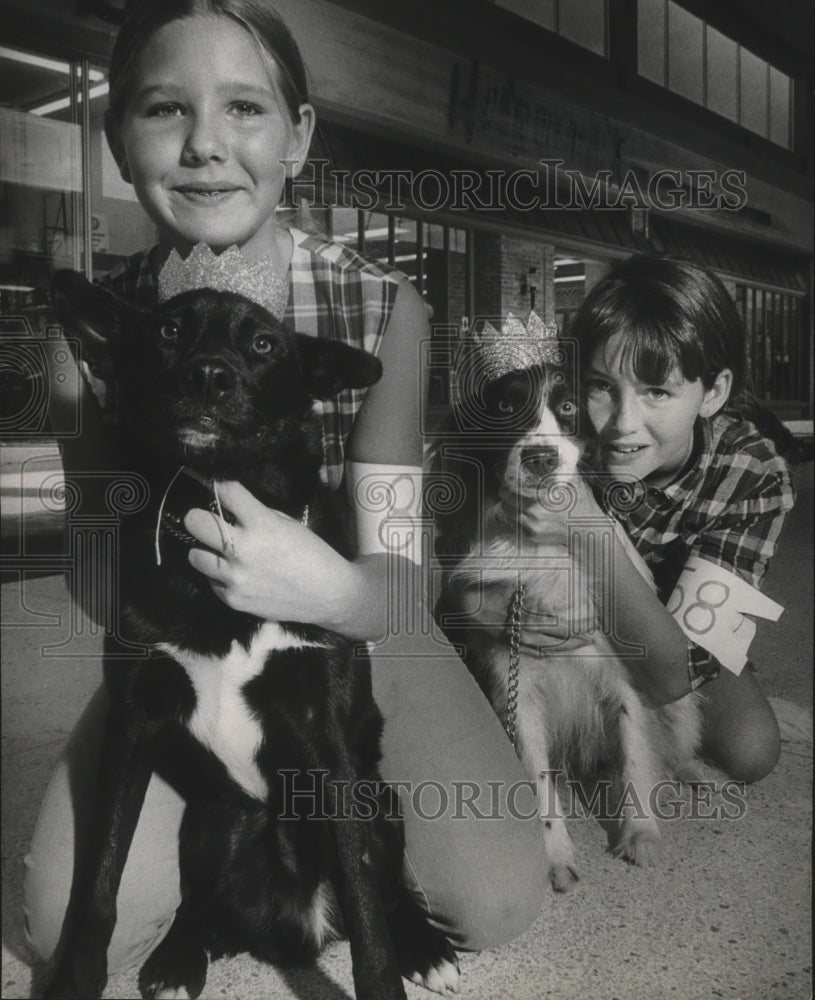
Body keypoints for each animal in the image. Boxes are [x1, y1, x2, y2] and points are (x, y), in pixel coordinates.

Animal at [47, 270, 462, 996]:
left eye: (265, 344)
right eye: (168, 330)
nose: (210, 376)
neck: (212, 511)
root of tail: (299, 922)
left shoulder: (325, 737)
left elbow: (364, 902)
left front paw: (389, 969)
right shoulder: (132, 725)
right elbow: (97, 881)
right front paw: (75, 979)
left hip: (378, 801)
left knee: (385, 888)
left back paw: (423, 943)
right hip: (213, 825)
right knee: (198, 904)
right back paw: (180, 955)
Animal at [434, 342, 700, 892]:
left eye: (570, 406)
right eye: (504, 407)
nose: (540, 458)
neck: (546, 547)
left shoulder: (625, 679)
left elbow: (637, 756)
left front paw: (641, 833)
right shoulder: (516, 687)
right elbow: (538, 778)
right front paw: (555, 854)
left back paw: (688, 770)